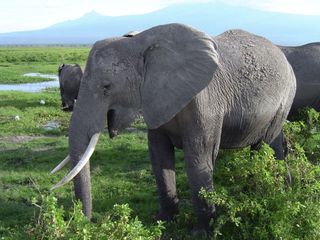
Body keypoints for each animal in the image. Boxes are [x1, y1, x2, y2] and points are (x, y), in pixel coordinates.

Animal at [50, 23, 298, 233]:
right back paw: (275, 190)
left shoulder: (205, 102)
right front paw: (163, 220)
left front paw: (201, 232)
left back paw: (262, 193)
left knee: (264, 147)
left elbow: (198, 161)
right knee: (272, 146)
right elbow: (159, 158)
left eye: (106, 87)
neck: (140, 43)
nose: (85, 223)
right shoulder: (155, 101)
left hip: (285, 96)